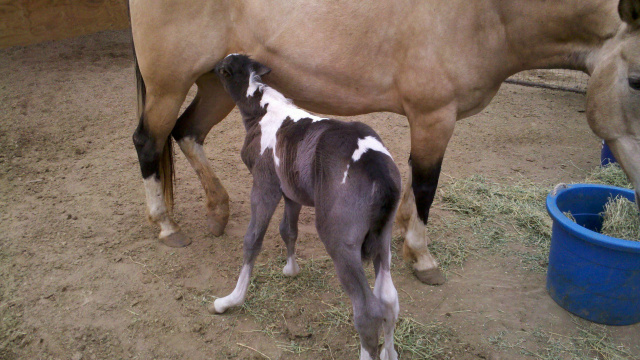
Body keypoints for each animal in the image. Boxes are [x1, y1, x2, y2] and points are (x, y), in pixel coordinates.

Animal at [127, 0, 640, 286]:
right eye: (636, 80)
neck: (488, 15)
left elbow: (416, 187)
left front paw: (405, 238)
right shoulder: (434, 116)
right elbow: (427, 184)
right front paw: (423, 257)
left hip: (218, 80)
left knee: (187, 133)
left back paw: (218, 210)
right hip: (170, 84)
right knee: (150, 141)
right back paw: (166, 225)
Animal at [210, 54, 400, 360]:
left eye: (221, 69)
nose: (208, 69)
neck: (262, 110)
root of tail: (379, 171)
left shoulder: (264, 185)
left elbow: (253, 239)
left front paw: (230, 300)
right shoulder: (292, 193)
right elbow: (288, 230)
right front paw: (291, 270)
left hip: (339, 239)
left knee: (368, 310)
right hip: (383, 235)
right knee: (389, 300)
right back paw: (389, 353)